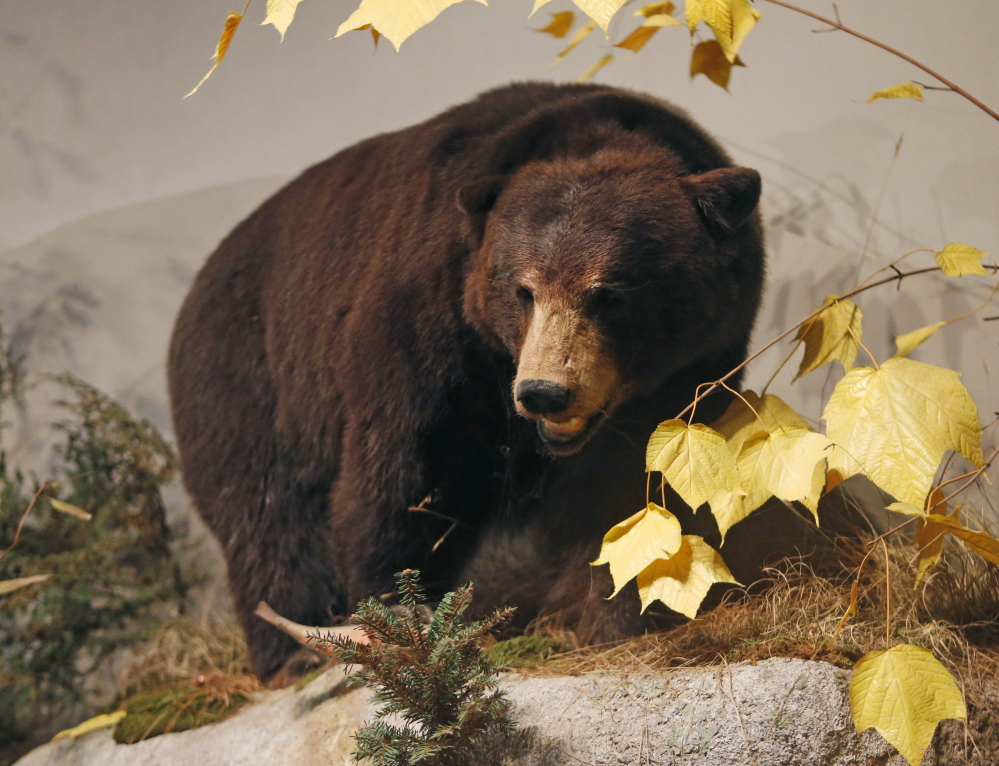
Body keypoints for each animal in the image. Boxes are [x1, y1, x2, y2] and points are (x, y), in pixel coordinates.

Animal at [168, 82, 781, 683]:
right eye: (523, 289)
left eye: (608, 293)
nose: (543, 392)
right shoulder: (432, 326)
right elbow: (403, 477)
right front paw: (394, 614)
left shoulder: (685, 375)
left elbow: (637, 492)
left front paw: (615, 614)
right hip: (249, 379)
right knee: (268, 513)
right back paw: (291, 651)